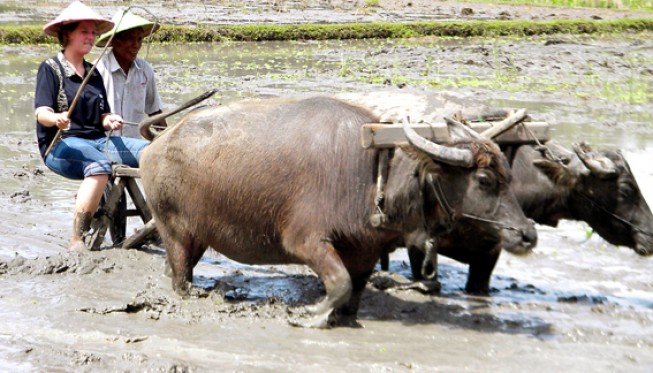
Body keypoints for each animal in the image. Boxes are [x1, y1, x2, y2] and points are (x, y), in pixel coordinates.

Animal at [139, 96, 536, 328]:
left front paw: (342, 316)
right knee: (180, 274)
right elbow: (339, 282)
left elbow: (354, 289)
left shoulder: (365, 250)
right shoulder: (306, 241)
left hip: (197, 234)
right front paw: (310, 315)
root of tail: (157, 143)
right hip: (174, 229)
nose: (528, 234)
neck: (372, 175)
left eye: (509, 176)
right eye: (484, 181)